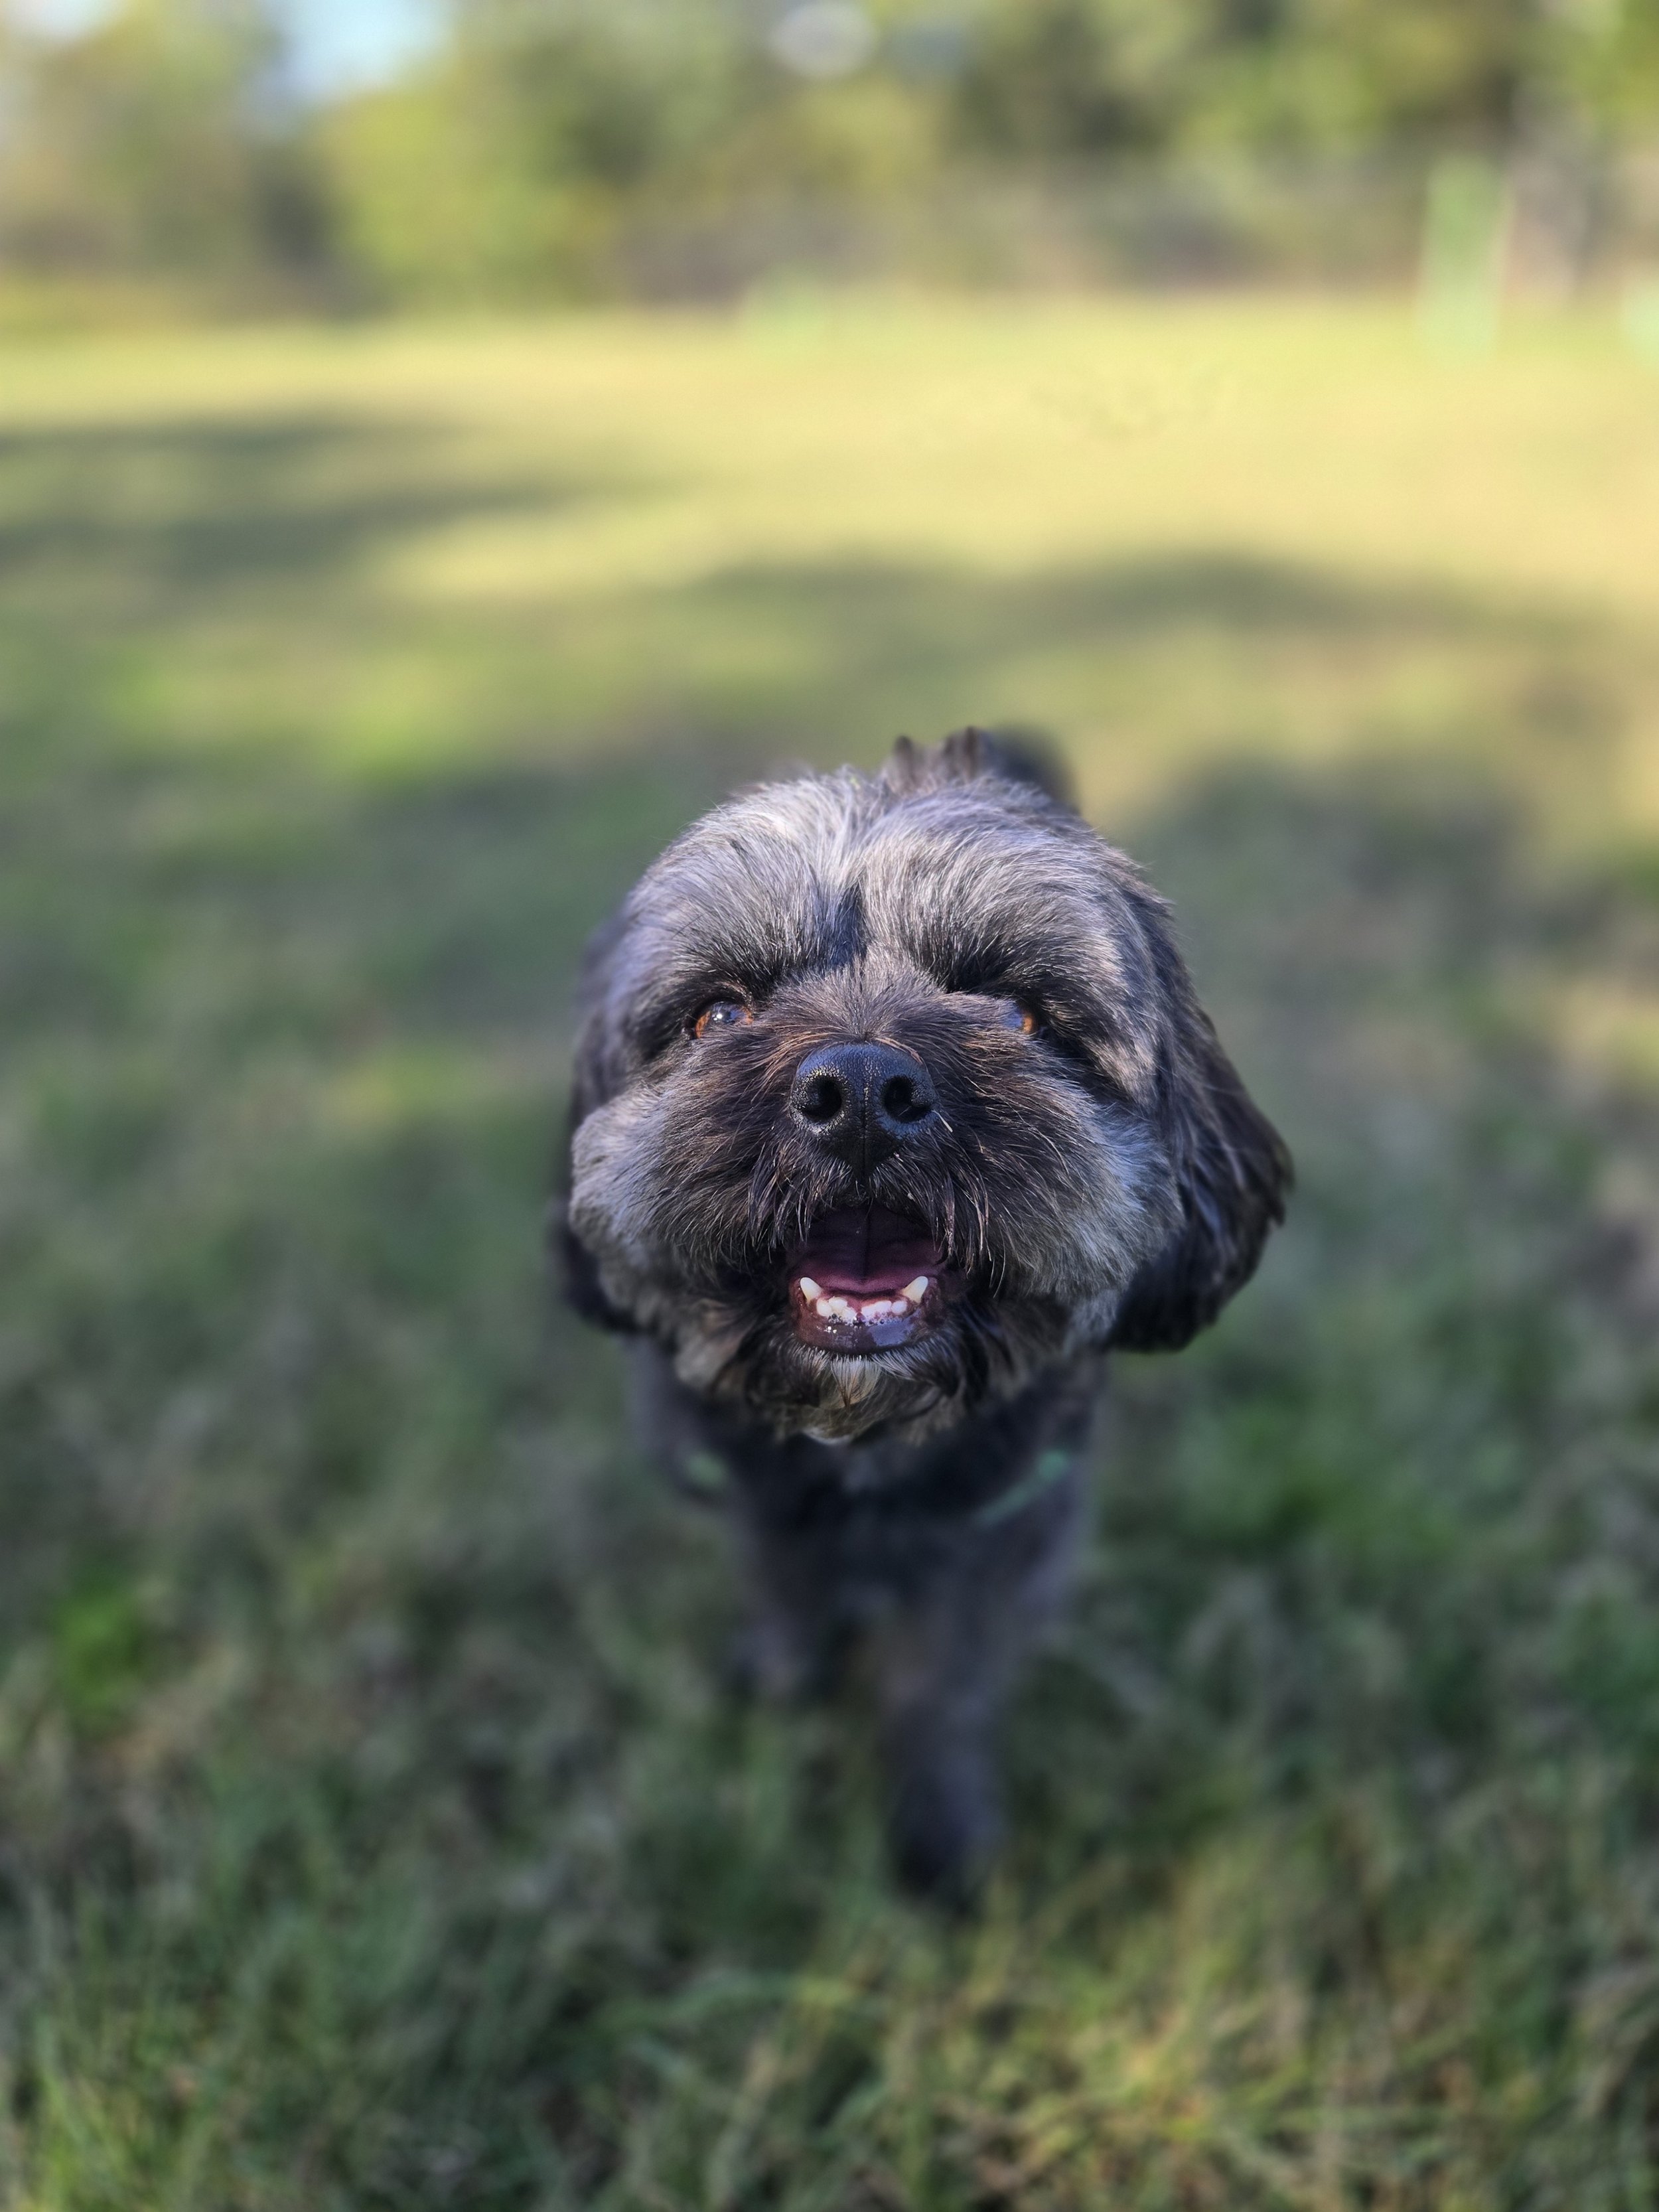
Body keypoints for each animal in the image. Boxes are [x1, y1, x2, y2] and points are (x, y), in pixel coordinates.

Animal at [558, 728, 1290, 1897]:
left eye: (1019, 1012)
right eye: (719, 1012)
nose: (860, 1087)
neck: (867, 1445)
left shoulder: (992, 1535)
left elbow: (937, 1686)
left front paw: (939, 1839)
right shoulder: (761, 1505)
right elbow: (787, 1599)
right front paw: (786, 1688)